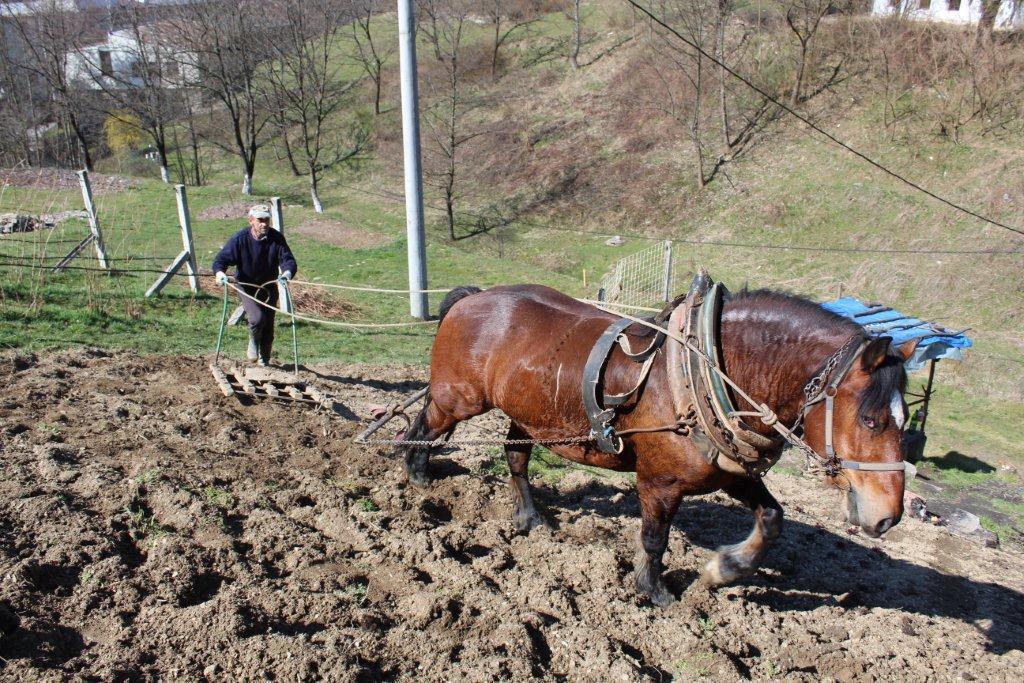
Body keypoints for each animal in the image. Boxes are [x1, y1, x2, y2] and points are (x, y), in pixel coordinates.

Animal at [397, 286, 913, 606]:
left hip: (529, 416)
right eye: (870, 419)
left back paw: (528, 517)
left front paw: (724, 567)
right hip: (458, 398)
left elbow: (772, 519)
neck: (703, 371)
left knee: (515, 454)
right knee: (424, 425)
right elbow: (654, 538)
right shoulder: (660, 483)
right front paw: (654, 590)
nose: (887, 517)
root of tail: (474, 297)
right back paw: (417, 475)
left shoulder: (729, 472)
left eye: (905, 421)